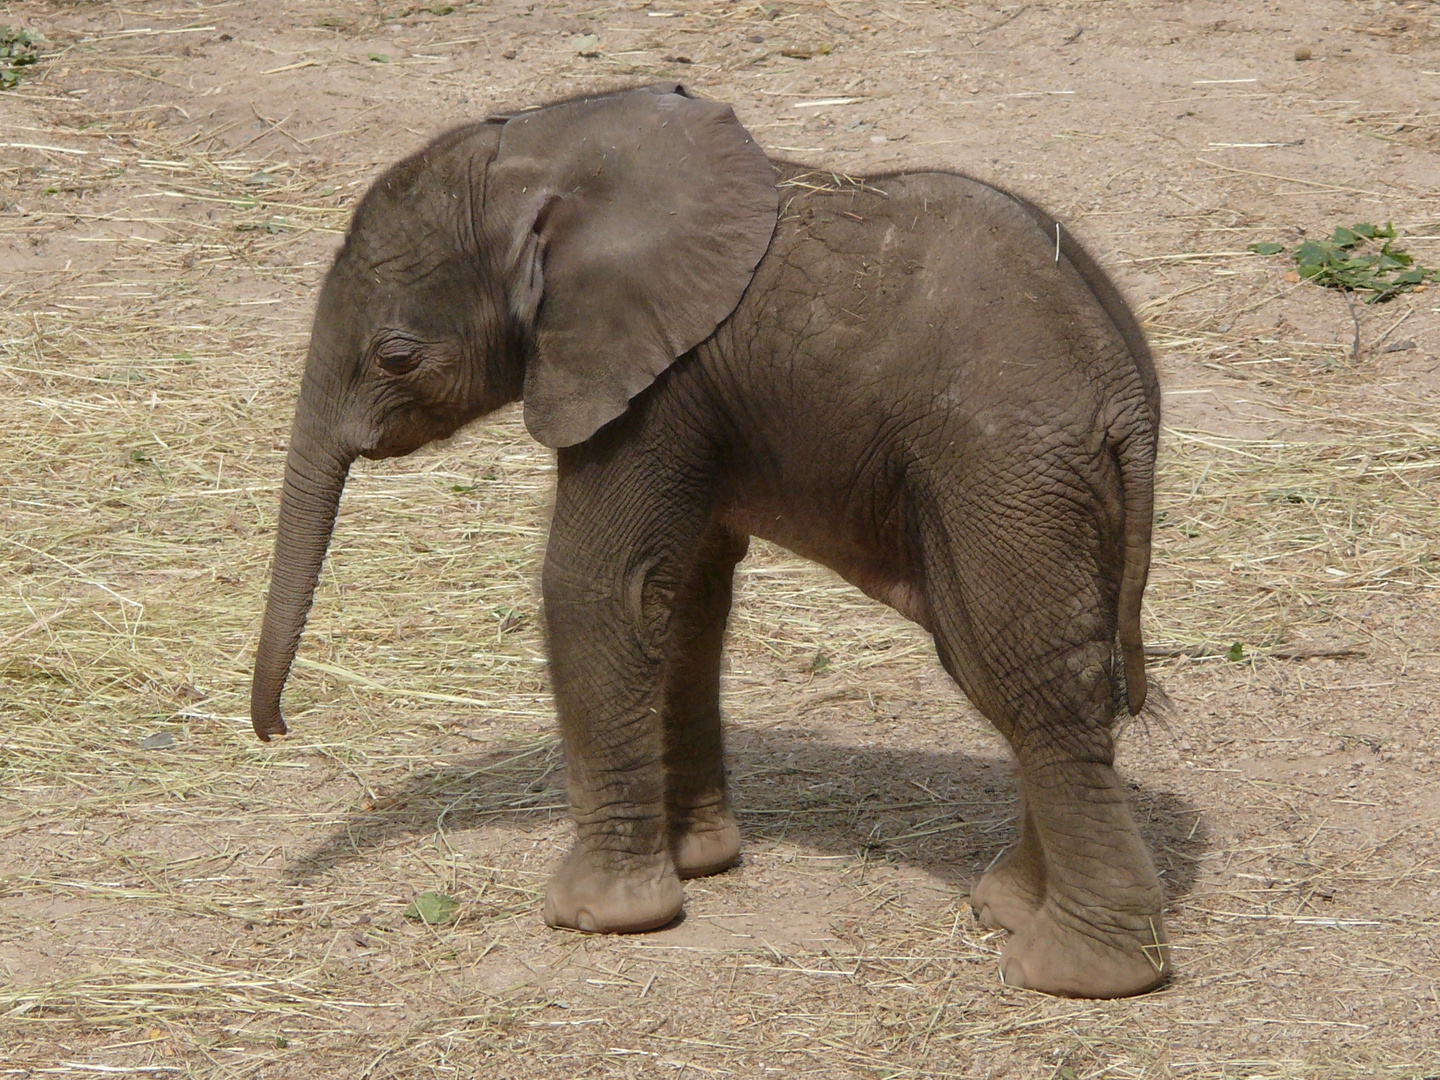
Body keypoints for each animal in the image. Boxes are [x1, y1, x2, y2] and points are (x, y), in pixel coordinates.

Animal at [247, 82, 1169, 996]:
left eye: (397, 358)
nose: (277, 732)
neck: (557, 150)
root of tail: (1125, 394)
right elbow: (685, 597)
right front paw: (698, 861)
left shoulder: (654, 386)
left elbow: (595, 587)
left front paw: (597, 915)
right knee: (1003, 663)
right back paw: (1009, 907)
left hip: (1002, 468)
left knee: (1028, 671)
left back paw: (1077, 970)